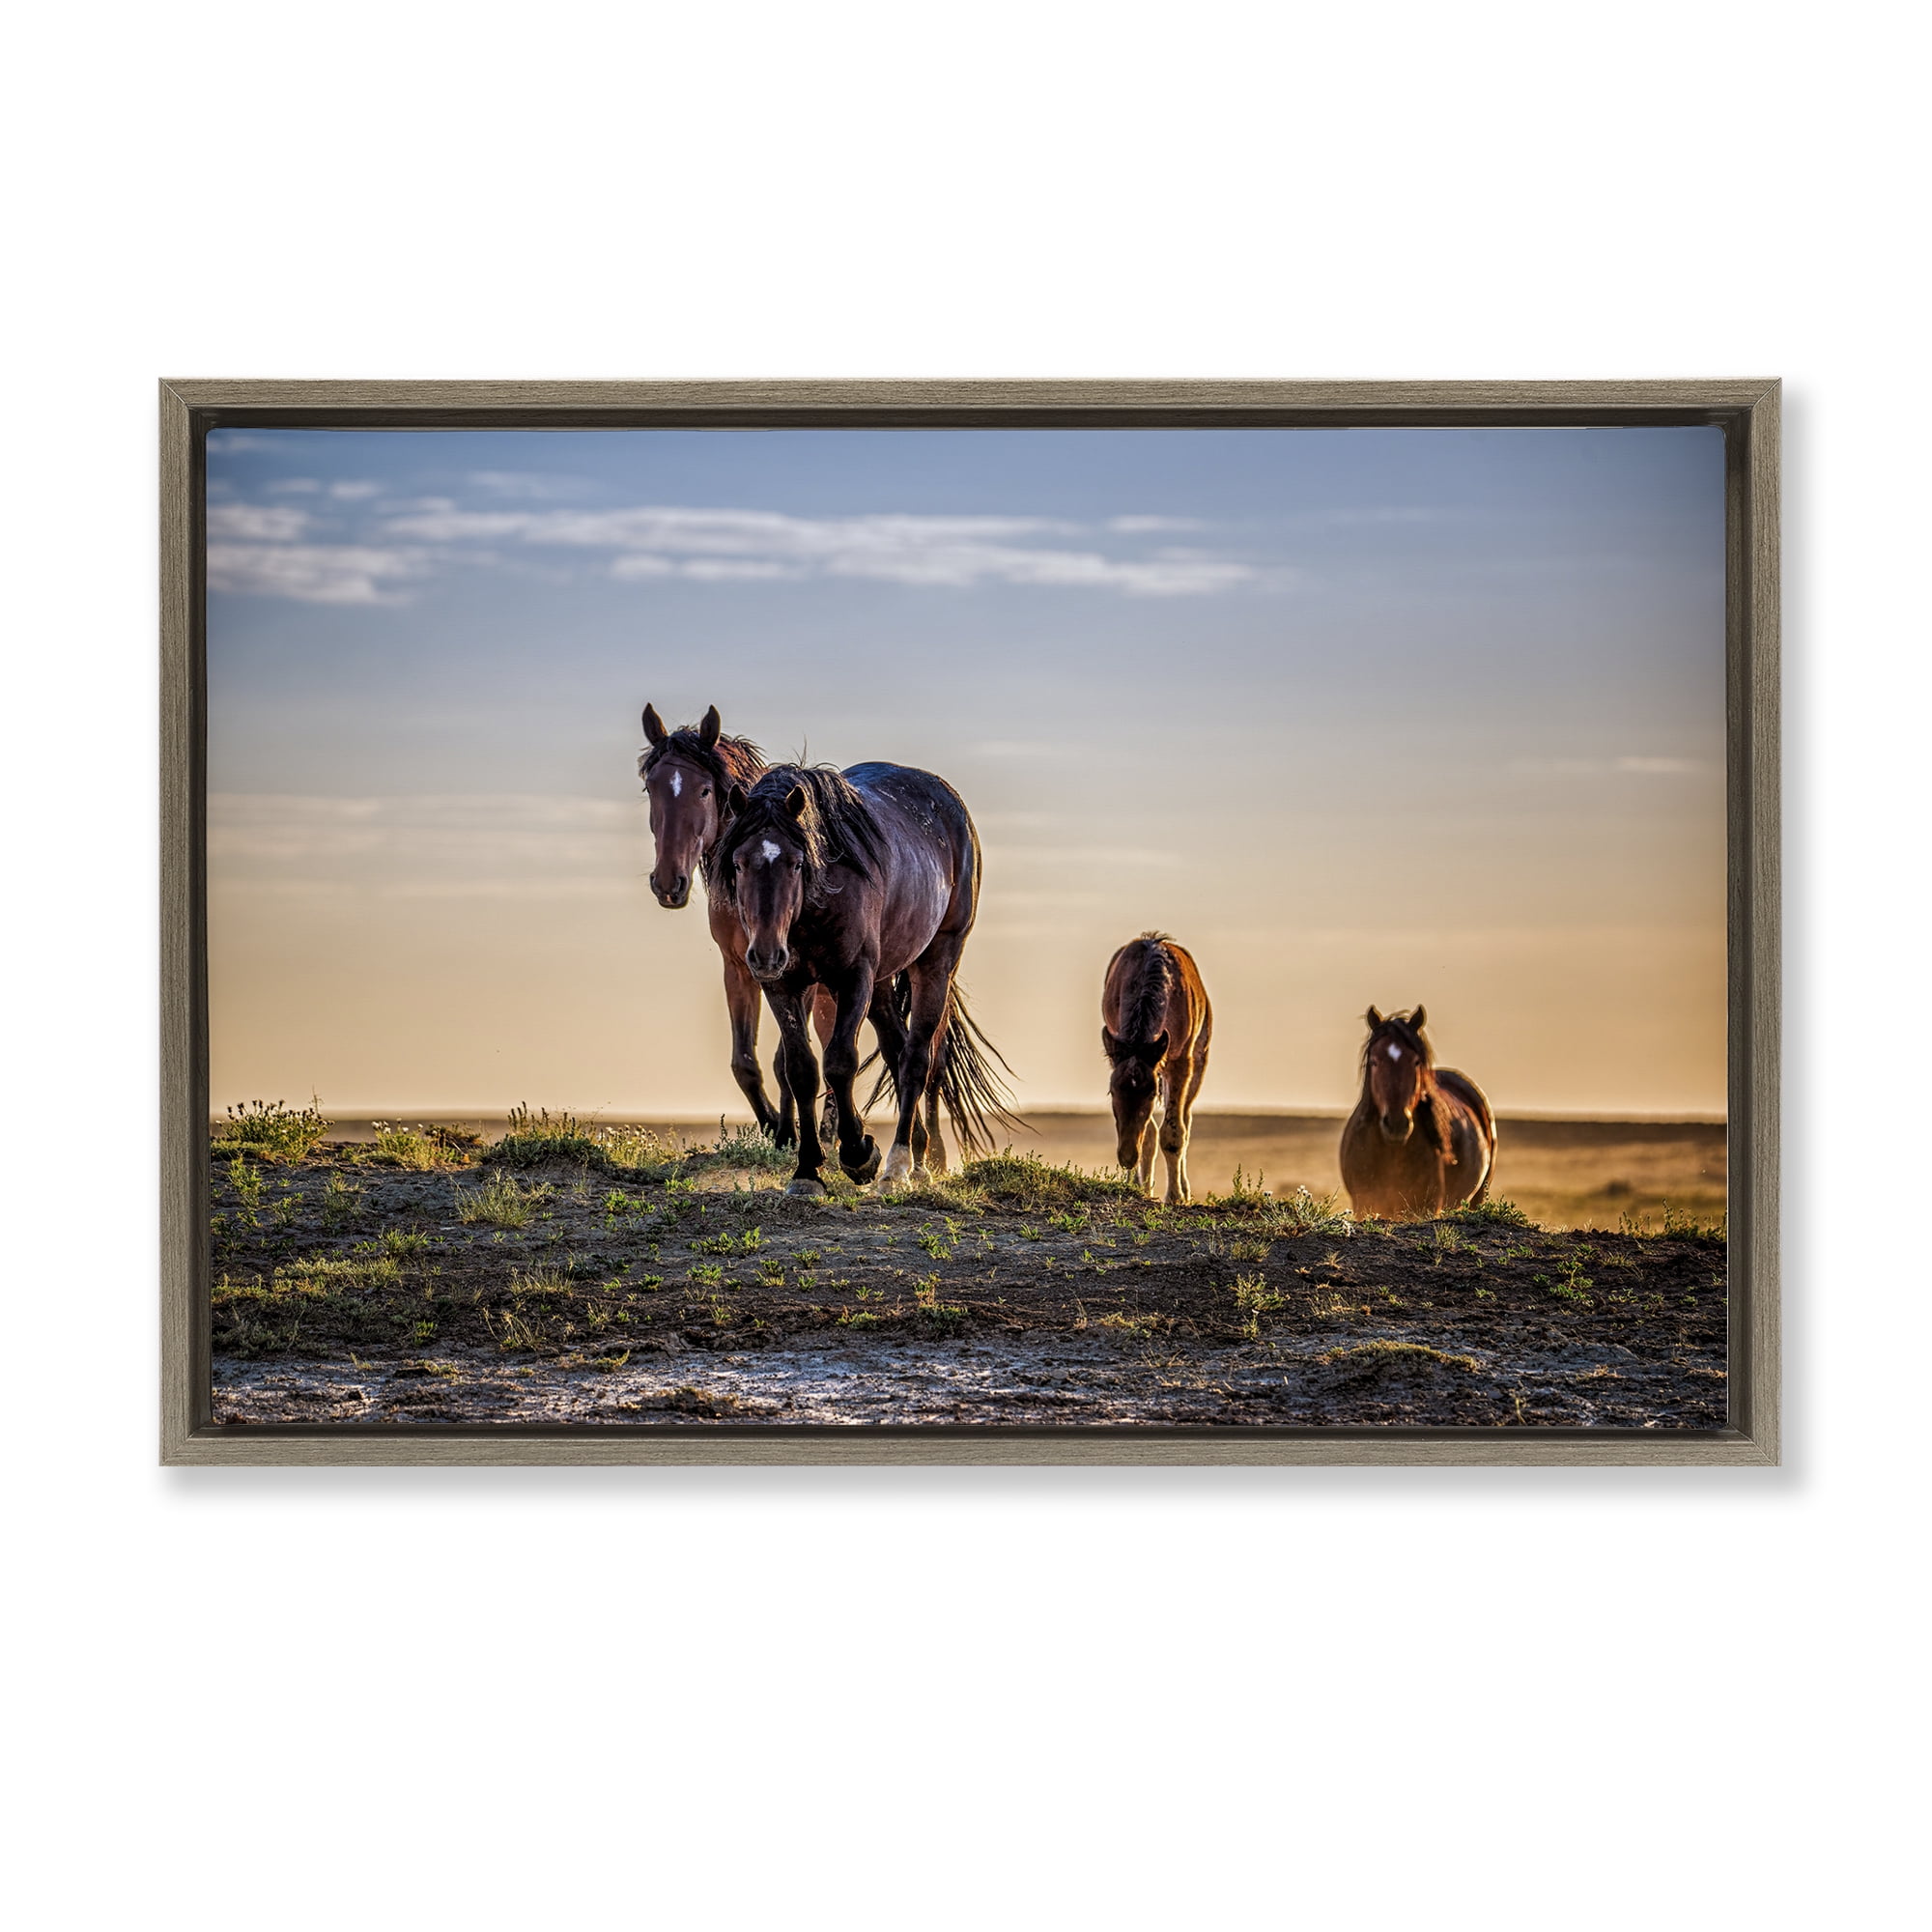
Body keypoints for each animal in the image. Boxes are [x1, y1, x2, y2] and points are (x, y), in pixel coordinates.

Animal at [638, 703, 834, 1148]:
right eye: (650, 789)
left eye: (705, 790)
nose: (668, 883)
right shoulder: (739, 967)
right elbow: (745, 1062)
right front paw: (776, 1129)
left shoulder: (792, 973)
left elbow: (784, 1060)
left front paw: (789, 1133)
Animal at [714, 760, 1022, 1195]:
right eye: (739, 864)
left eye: (796, 863)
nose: (766, 954)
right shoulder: (783, 985)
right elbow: (802, 1069)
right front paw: (807, 1171)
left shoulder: (853, 977)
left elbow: (840, 1062)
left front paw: (859, 1155)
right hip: (880, 984)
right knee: (896, 1049)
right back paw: (917, 1157)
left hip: (936, 962)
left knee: (916, 1058)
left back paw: (897, 1166)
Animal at [1101, 932, 1212, 1202]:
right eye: (1112, 1092)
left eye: (1151, 1094)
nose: (1127, 1156)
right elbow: (1149, 1132)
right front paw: (1137, 1185)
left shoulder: (1180, 1061)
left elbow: (1174, 1133)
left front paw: (1175, 1196)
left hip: (1198, 1062)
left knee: (1186, 1121)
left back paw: (1184, 1190)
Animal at [1339, 1005, 1496, 1218]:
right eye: (1374, 1062)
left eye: (1415, 1062)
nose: (1397, 1124)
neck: (1393, 1152)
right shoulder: (1363, 1204)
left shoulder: (1424, 1208)